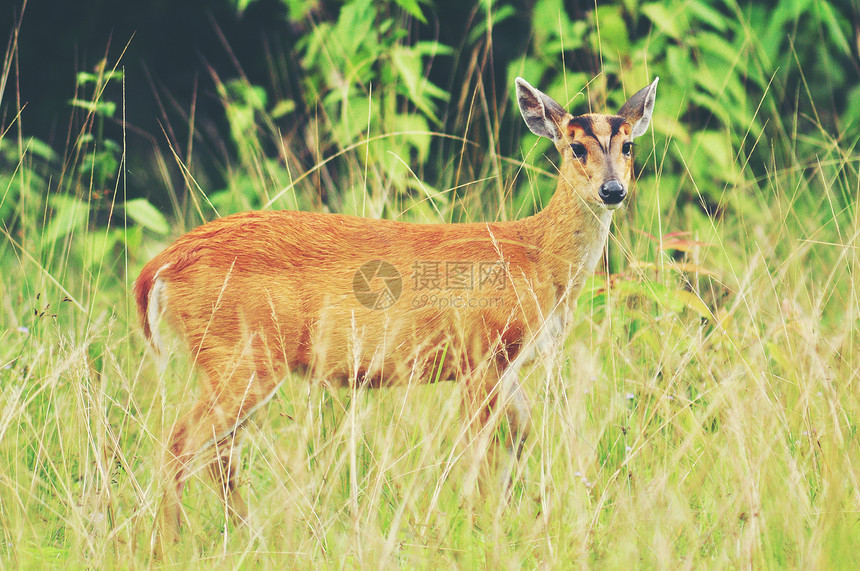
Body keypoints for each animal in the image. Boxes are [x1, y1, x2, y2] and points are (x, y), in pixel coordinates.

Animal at [133, 76, 660, 544]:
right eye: (576, 147)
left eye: (629, 145)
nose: (613, 191)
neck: (537, 260)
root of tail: (162, 264)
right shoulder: (481, 350)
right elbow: (479, 450)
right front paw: (477, 529)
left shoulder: (504, 362)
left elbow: (519, 433)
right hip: (241, 354)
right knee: (180, 444)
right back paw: (172, 544)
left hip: (235, 360)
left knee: (216, 453)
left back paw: (245, 535)